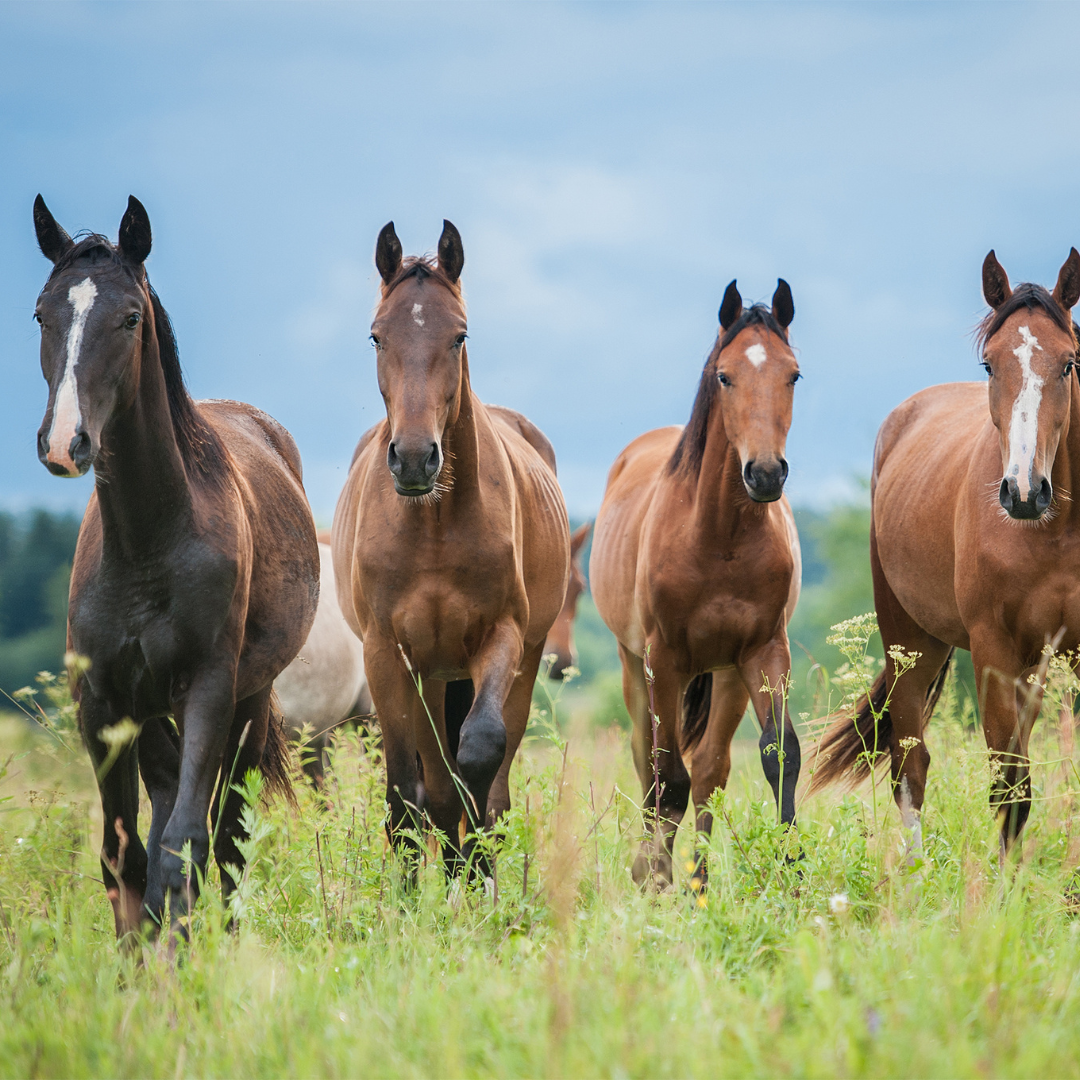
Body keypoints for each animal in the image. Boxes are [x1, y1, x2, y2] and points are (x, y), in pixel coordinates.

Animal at [31, 196, 318, 939]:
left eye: (131, 317)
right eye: (42, 313)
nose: (65, 443)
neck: (147, 544)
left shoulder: (209, 691)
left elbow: (187, 842)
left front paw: (180, 957)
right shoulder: (102, 704)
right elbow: (124, 853)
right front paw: (140, 959)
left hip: (245, 704)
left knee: (228, 832)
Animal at [331, 221, 569, 869]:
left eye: (459, 335)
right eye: (376, 336)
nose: (415, 458)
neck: (432, 526)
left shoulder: (501, 636)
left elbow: (480, 760)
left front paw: (477, 872)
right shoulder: (387, 654)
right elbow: (403, 791)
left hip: (510, 664)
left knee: (478, 782)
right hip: (428, 675)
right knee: (429, 786)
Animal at [590, 279, 803, 886]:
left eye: (793, 374)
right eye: (725, 375)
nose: (765, 473)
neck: (718, 537)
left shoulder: (765, 651)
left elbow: (780, 755)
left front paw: (793, 873)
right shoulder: (663, 659)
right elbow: (667, 776)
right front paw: (654, 877)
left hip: (728, 674)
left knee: (711, 768)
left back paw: (698, 881)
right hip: (634, 668)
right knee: (650, 764)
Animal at [811, 249, 1080, 859]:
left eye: (1069, 363)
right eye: (989, 365)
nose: (1024, 492)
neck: (1055, 532)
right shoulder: (993, 649)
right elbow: (1009, 789)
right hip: (910, 642)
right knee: (910, 765)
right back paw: (915, 872)